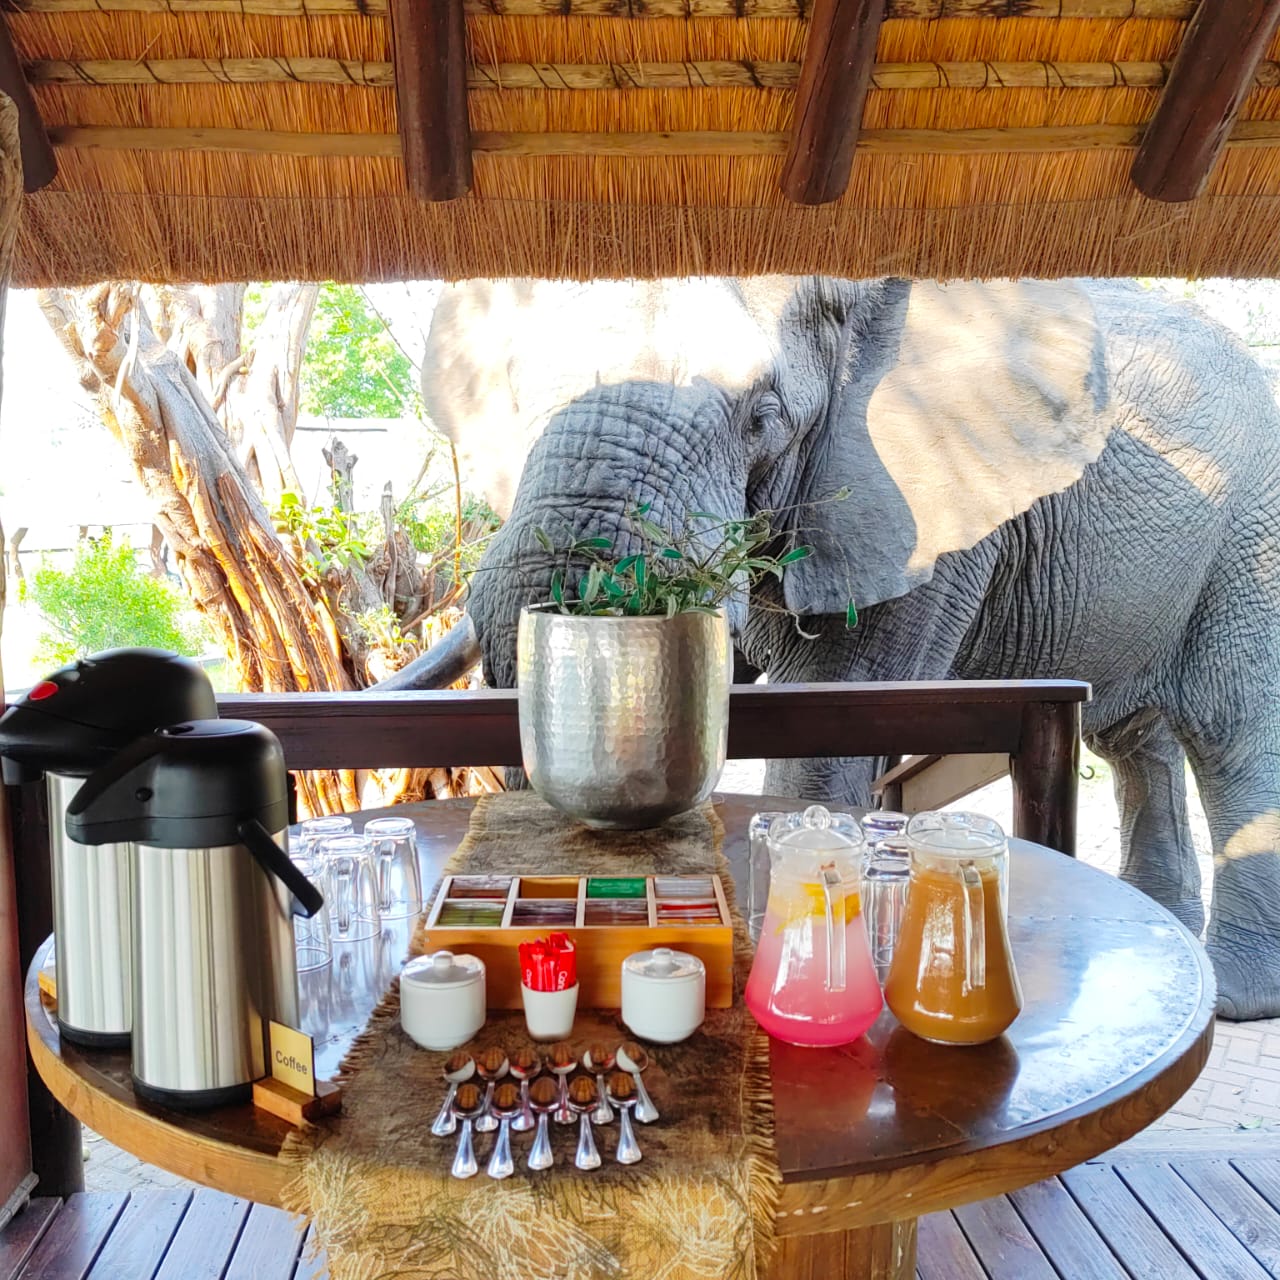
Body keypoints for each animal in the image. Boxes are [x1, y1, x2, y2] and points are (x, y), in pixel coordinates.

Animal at [386, 275, 1280, 1013]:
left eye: (763, 417)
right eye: (512, 395)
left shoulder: (926, 515)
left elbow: (828, 721)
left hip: (1252, 530)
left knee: (1229, 727)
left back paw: (1234, 997)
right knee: (1135, 741)